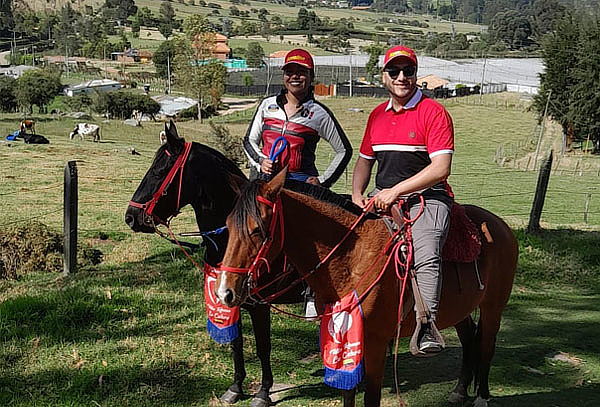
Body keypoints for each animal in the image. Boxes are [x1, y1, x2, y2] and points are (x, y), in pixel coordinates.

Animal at [125, 121, 308, 407]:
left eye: (160, 170)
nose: (131, 217)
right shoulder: (229, 300)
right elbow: (236, 342)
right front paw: (236, 387)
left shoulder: (259, 305)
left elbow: (263, 346)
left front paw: (263, 392)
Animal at [217, 171, 520, 407]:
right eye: (228, 224)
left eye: (258, 230)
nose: (225, 292)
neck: (353, 258)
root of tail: (499, 225)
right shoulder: (346, 334)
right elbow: (349, 393)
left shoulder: (375, 342)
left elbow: (370, 396)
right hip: (460, 310)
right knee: (470, 340)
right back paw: (459, 391)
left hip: (493, 307)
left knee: (486, 345)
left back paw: (482, 396)